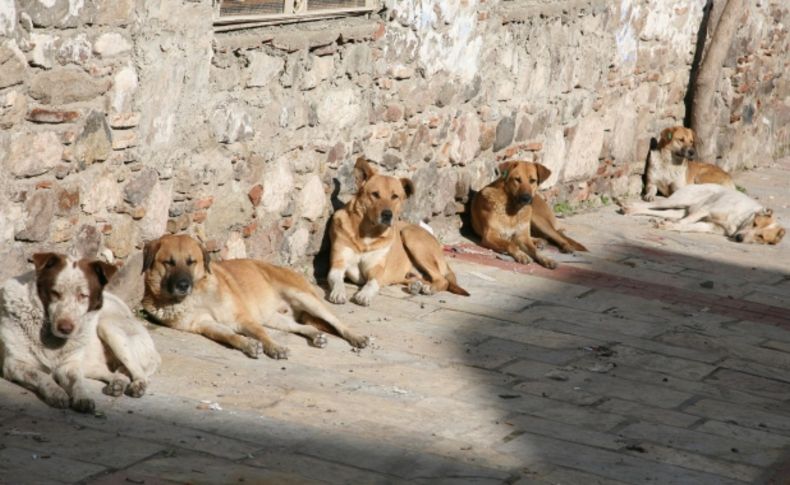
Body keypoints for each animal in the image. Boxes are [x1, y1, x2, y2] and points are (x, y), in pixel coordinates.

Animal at [0, 253, 162, 412]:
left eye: (83, 296)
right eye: (55, 293)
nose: (65, 328)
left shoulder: (69, 365)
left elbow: (77, 382)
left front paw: (82, 397)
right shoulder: (14, 364)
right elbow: (42, 376)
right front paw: (57, 392)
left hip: (108, 327)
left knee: (138, 372)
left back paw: (138, 385)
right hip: (92, 363)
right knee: (115, 372)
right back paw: (117, 384)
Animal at [142, 234, 372, 360]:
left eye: (191, 262)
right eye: (169, 262)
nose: (183, 286)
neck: (197, 296)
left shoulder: (244, 319)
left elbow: (261, 334)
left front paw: (274, 347)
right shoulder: (206, 325)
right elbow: (229, 336)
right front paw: (247, 344)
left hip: (306, 299)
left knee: (338, 322)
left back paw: (357, 337)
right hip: (274, 317)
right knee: (303, 326)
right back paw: (315, 335)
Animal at [328, 157, 470, 304]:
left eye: (395, 196)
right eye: (375, 194)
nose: (387, 214)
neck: (367, 234)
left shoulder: (376, 271)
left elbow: (372, 284)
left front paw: (364, 295)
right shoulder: (337, 265)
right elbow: (337, 280)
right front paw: (338, 292)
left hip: (410, 236)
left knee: (443, 280)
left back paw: (429, 288)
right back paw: (417, 286)